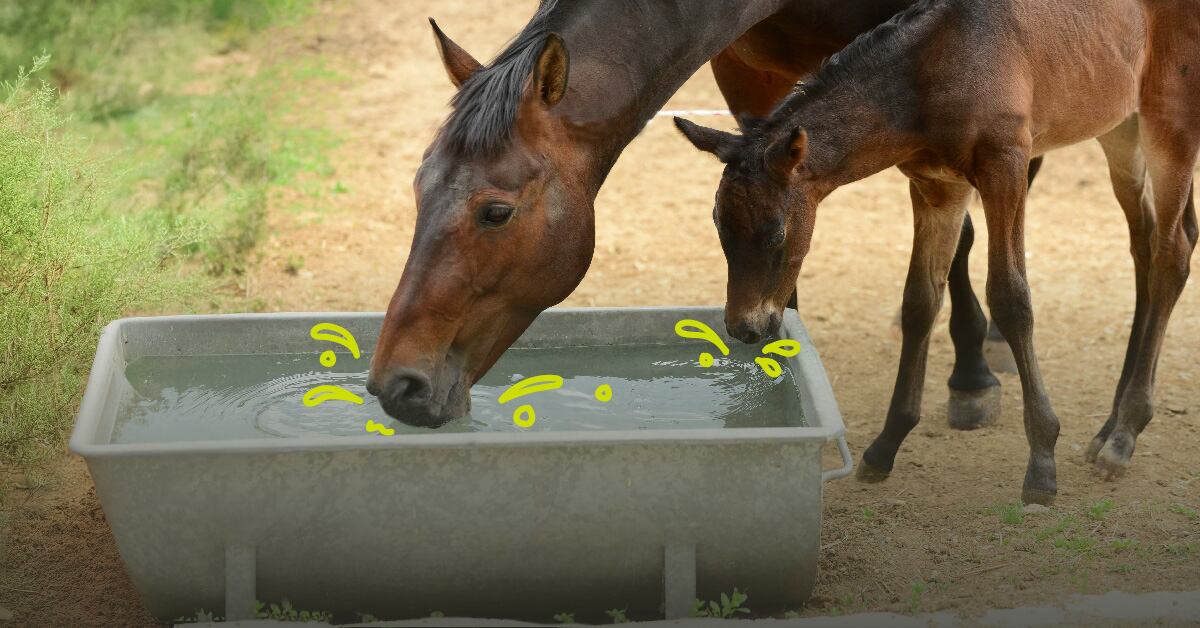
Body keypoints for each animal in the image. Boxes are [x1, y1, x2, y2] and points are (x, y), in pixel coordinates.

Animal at [675, 0, 1199, 504]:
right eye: (719, 228)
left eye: (776, 235)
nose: (744, 328)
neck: (938, 64)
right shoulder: (938, 188)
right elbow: (919, 301)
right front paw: (884, 447)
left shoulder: (1006, 167)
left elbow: (1011, 299)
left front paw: (1041, 464)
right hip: (1120, 128)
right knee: (1145, 242)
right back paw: (1110, 426)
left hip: (1170, 121)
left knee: (1173, 250)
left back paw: (1124, 434)